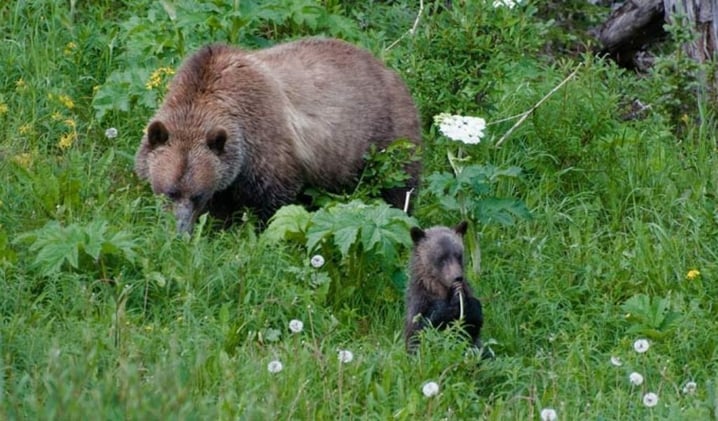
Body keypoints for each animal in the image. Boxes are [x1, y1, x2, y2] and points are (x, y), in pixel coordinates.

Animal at [134, 38, 422, 234]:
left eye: (198, 195)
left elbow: (273, 199)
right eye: (169, 191)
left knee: (399, 186)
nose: (180, 229)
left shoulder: (264, 143)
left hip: (386, 135)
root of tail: (390, 71)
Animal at [404, 221, 486, 354]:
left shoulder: (468, 290)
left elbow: (472, 327)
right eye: (441, 258)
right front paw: (453, 302)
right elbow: (419, 328)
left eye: (458, 255)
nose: (457, 278)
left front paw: (468, 304)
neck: (440, 289)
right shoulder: (420, 298)